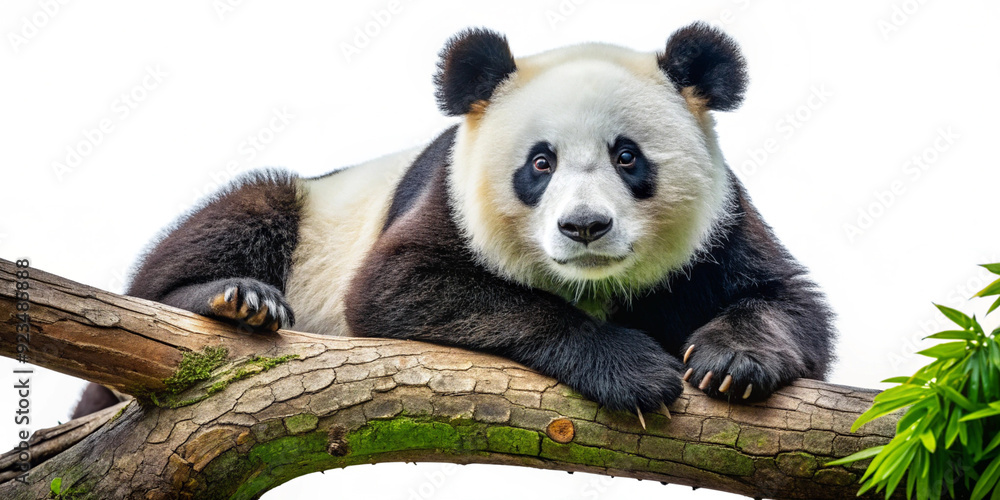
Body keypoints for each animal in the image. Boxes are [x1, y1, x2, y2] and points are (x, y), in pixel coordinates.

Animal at [75, 22, 833, 417]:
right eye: (540, 163)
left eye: (627, 156)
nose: (584, 228)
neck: (594, 283)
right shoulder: (445, 204)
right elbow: (406, 288)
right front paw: (631, 368)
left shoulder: (720, 227)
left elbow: (788, 302)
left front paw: (731, 362)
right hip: (308, 213)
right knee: (239, 219)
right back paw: (235, 299)